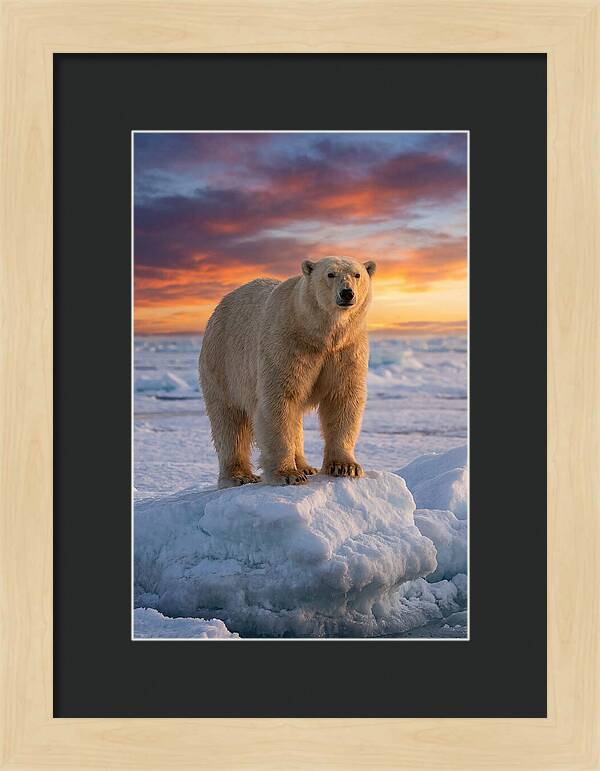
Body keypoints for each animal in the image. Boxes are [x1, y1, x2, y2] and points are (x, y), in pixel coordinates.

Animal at [199, 256, 376, 487]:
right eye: (330, 274)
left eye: (357, 274)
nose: (347, 293)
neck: (318, 333)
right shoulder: (286, 343)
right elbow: (279, 401)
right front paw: (288, 474)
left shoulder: (347, 349)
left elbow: (343, 398)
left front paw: (346, 467)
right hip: (223, 363)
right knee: (229, 422)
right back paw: (239, 476)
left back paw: (305, 466)